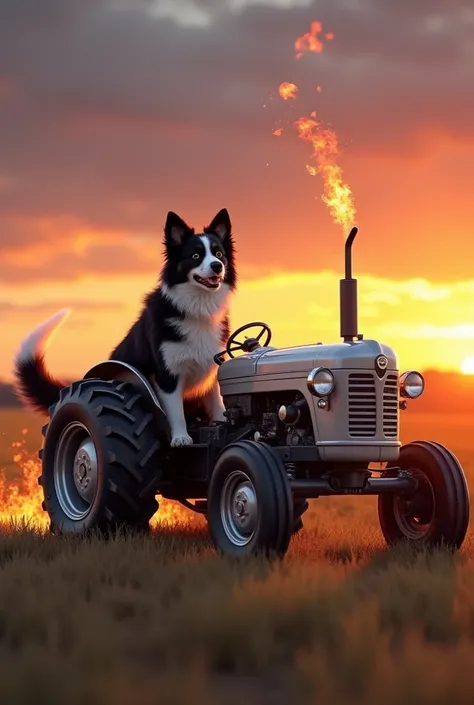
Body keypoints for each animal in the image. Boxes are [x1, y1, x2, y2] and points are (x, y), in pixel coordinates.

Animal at [13, 206, 236, 446]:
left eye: (219, 254)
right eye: (195, 256)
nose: (217, 266)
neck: (196, 309)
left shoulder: (211, 371)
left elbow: (219, 408)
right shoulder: (167, 375)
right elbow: (175, 412)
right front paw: (180, 438)